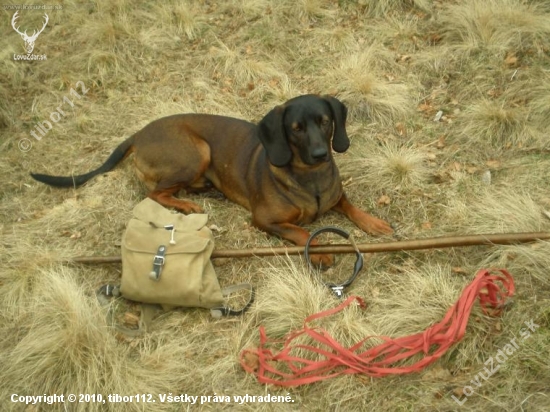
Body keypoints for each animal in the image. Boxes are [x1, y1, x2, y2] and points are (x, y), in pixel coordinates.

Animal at [31, 94, 392, 266]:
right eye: (296, 128)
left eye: (325, 121)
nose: (320, 153)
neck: (309, 177)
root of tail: (138, 134)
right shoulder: (265, 220)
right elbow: (303, 232)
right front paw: (319, 251)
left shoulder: (336, 196)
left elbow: (350, 205)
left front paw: (374, 223)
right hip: (198, 151)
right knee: (154, 193)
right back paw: (187, 204)